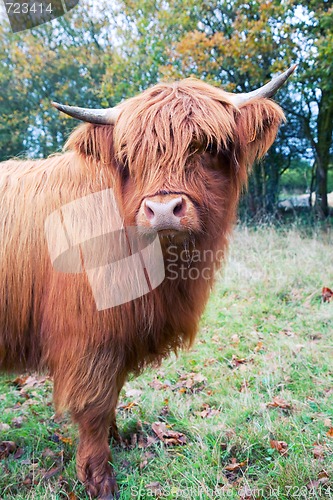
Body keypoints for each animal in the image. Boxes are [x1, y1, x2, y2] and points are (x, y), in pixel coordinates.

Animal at [0, 65, 294, 496]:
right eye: (130, 155)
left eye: (205, 146)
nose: (163, 210)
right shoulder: (89, 338)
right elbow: (94, 406)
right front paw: (100, 480)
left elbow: (112, 396)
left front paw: (118, 438)